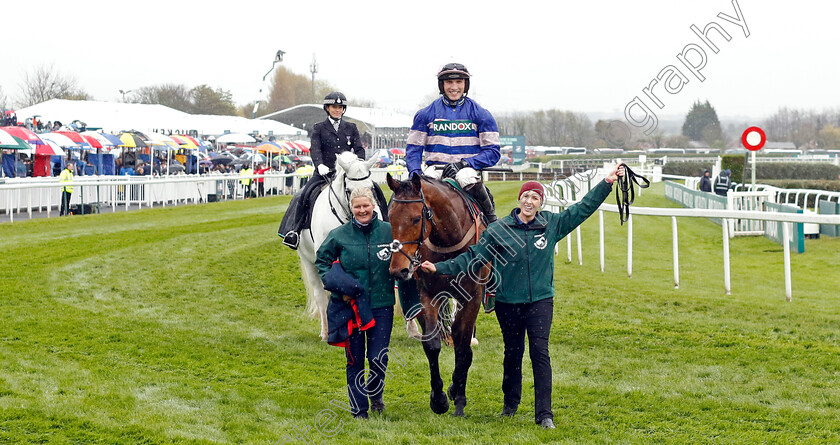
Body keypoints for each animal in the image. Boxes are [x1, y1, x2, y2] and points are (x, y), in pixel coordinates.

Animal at [384, 173, 488, 416]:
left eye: (415, 219)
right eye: (390, 216)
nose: (398, 270)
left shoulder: (472, 297)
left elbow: (462, 345)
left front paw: (458, 395)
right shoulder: (426, 294)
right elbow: (432, 344)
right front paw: (439, 399)